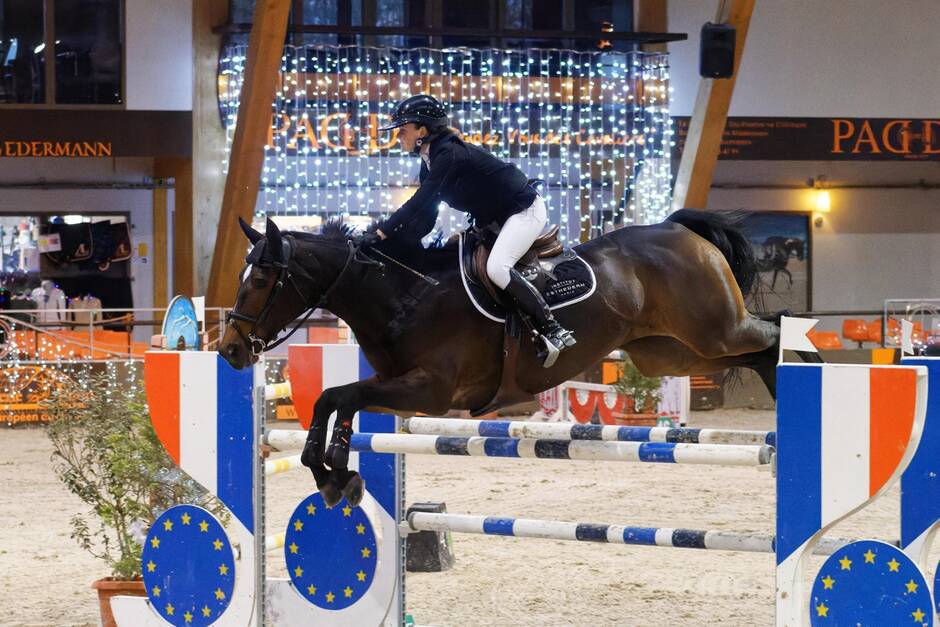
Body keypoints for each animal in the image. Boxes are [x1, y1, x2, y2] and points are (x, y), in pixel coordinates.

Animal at [222, 209, 784, 508]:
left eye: (262, 280)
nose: (229, 349)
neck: (404, 295)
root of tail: (681, 230)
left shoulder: (431, 391)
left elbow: (341, 395)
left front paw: (336, 469)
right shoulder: (396, 387)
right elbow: (333, 400)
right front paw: (333, 477)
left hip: (716, 332)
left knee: (773, 334)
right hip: (672, 354)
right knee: (756, 352)